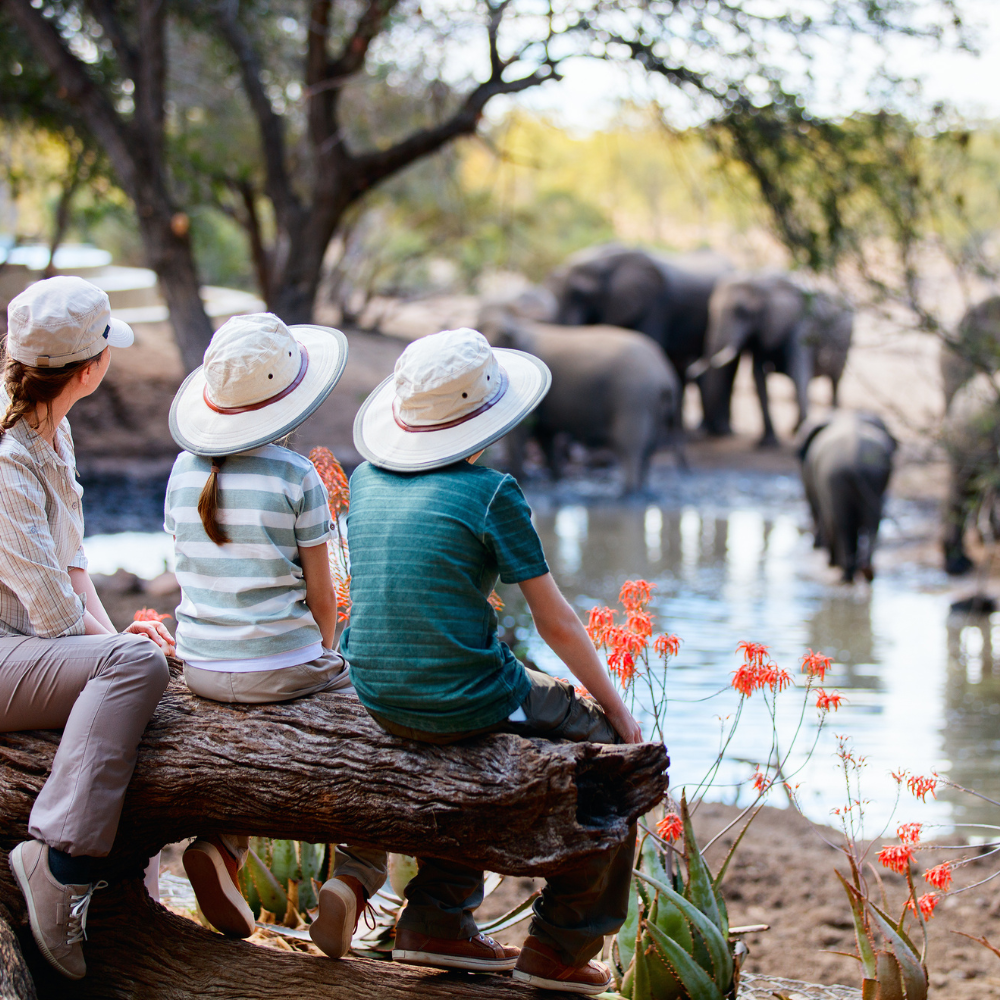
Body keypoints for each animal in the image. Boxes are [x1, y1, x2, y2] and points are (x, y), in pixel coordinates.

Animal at [479, 307, 681, 494]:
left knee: (629, 444)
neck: (518, 324)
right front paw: (557, 478)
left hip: (633, 397)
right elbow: (544, 434)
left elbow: (523, 433)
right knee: (650, 446)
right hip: (654, 404)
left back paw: (627, 493)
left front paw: (522, 479)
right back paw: (641, 490)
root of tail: (665, 375)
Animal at [690, 274, 854, 446]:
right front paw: (768, 442)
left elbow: (798, 373)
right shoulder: (761, 332)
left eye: (742, 312)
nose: (700, 434)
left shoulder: (801, 326)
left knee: (835, 381)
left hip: (845, 343)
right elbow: (758, 377)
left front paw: (802, 435)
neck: (761, 283)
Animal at [798, 412, 896, 583]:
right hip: (874, 478)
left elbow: (823, 513)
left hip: (835, 478)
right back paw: (866, 572)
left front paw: (830, 561)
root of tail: (855, 460)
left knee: (842, 523)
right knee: (872, 523)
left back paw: (846, 574)